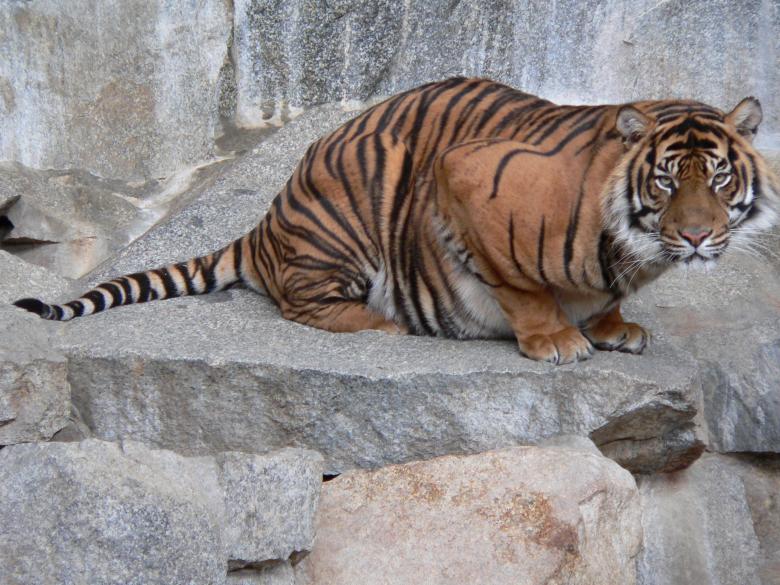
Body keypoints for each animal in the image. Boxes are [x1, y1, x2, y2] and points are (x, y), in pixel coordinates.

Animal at [13, 77, 779, 364]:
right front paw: (557, 339)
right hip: (365, 188)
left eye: (718, 177)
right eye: (665, 180)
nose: (696, 235)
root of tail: (266, 223)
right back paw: (380, 323)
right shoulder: (463, 177)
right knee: (302, 303)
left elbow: (604, 299)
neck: (636, 251)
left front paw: (614, 325)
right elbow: (521, 287)